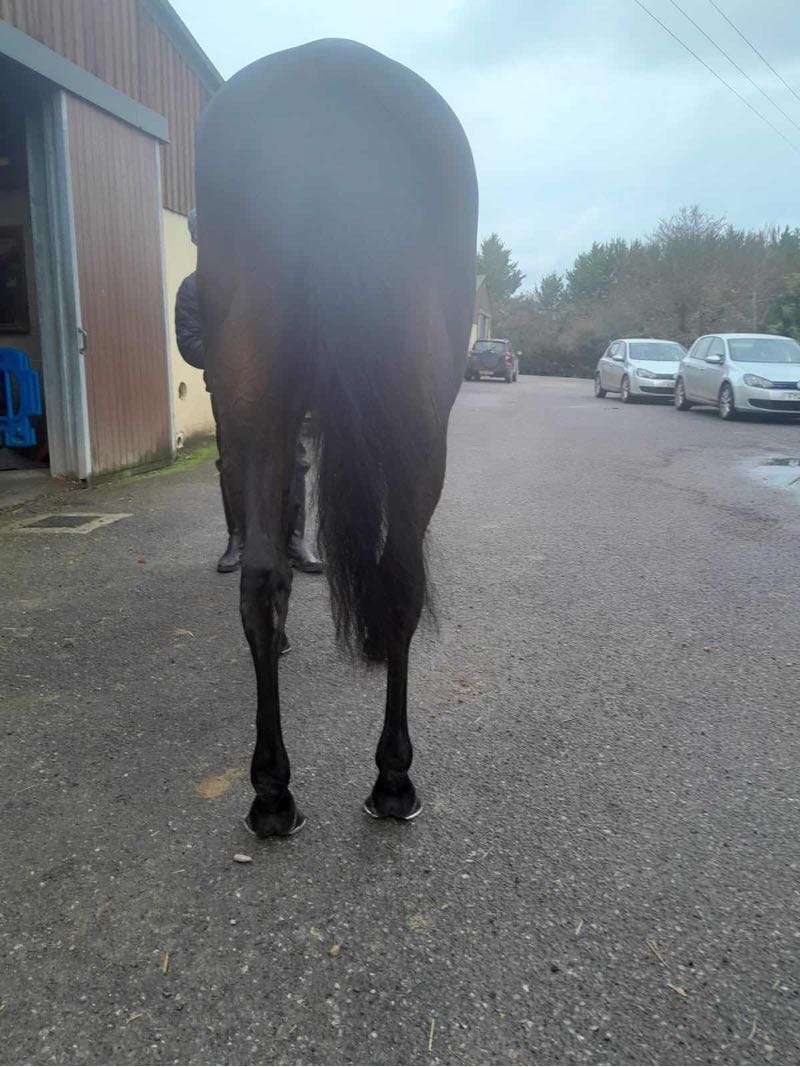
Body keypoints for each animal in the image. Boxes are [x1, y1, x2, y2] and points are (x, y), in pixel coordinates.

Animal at [195, 38, 478, 837]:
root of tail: (330, 72)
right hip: (419, 426)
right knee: (401, 570)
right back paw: (392, 780)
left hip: (257, 401)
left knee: (263, 577)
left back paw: (271, 792)